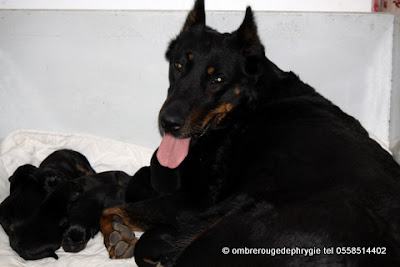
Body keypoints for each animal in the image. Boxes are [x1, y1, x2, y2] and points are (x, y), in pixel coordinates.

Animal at [101, 1, 400, 266]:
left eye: (217, 79)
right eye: (178, 65)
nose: (168, 123)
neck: (248, 106)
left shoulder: (195, 201)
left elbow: (112, 209)